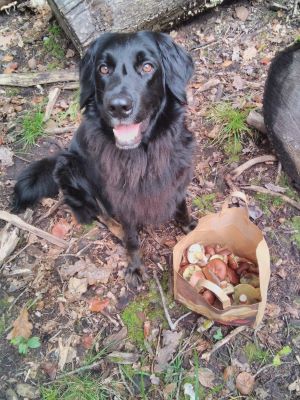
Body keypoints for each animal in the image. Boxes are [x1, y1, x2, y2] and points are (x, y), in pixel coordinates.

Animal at [12, 32, 197, 286]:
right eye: (104, 69)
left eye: (147, 67)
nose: (118, 107)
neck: (143, 153)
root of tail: (61, 155)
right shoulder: (121, 198)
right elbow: (131, 237)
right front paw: (135, 266)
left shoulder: (176, 178)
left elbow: (181, 205)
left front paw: (189, 226)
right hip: (71, 169)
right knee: (96, 212)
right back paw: (116, 228)